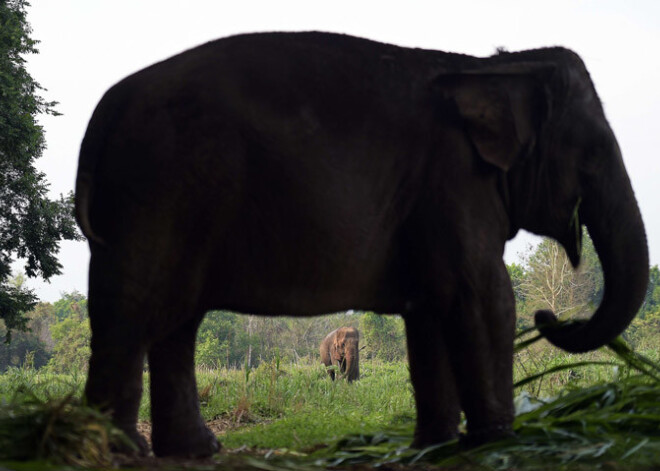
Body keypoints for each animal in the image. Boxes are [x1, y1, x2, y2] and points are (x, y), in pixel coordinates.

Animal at [75, 32, 648, 458]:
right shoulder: (452, 184)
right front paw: (496, 443)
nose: (549, 316)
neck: (493, 69)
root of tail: (105, 110)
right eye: (593, 151)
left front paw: (434, 445)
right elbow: (485, 298)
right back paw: (120, 450)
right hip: (155, 192)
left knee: (177, 320)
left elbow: (430, 309)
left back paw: (193, 450)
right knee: (133, 311)